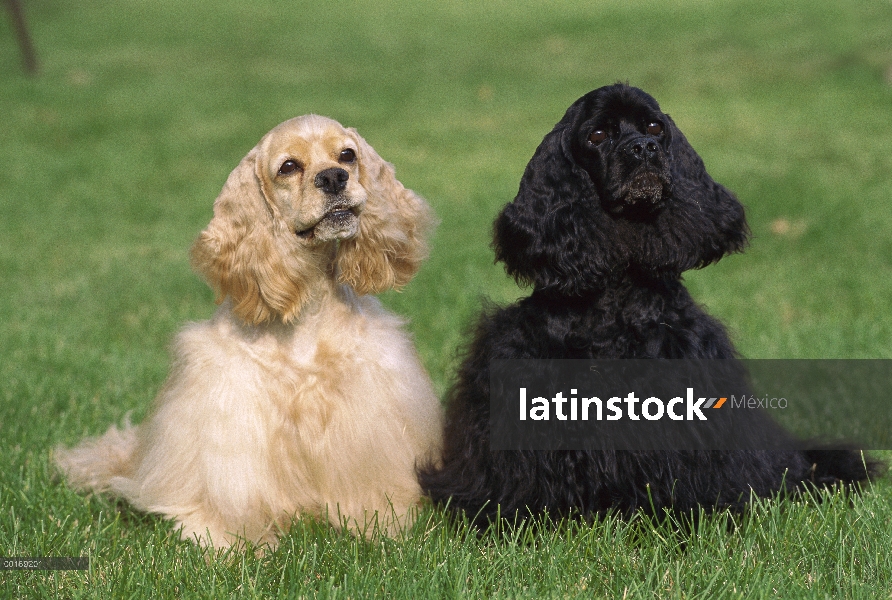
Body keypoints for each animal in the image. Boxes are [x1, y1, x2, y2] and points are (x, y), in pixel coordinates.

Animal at [55, 113, 442, 548]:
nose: (333, 177)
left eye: (347, 154)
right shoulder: (229, 420)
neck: (307, 308)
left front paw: (383, 526)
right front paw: (230, 542)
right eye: (288, 166)